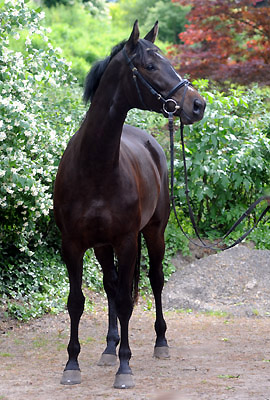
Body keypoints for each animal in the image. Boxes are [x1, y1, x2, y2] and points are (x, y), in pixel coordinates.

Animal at [53, 21, 205, 388]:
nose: (197, 105)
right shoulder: (73, 245)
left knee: (155, 280)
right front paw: (72, 364)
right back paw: (109, 347)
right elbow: (77, 302)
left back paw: (160, 343)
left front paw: (125, 367)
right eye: (150, 66)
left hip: (153, 233)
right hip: (103, 246)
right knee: (110, 285)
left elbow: (126, 300)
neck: (94, 167)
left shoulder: (126, 241)